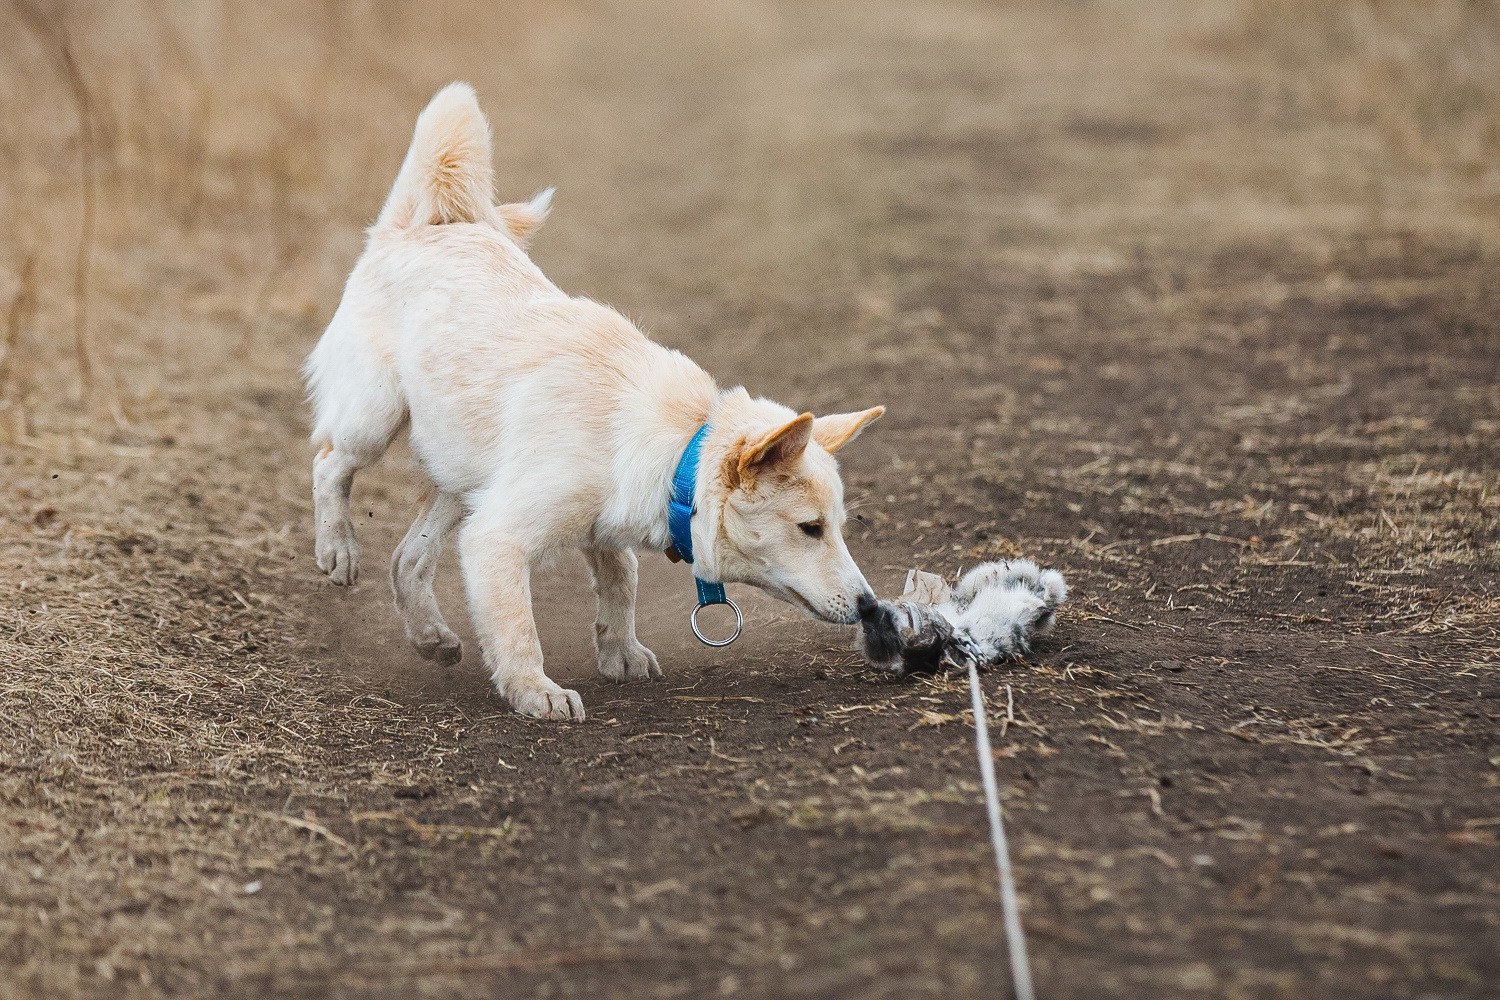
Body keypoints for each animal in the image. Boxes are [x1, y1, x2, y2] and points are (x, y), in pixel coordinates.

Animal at [309, 83, 882, 719]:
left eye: (838, 526)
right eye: (810, 528)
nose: (870, 608)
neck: (677, 454)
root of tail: (419, 227)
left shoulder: (594, 524)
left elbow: (621, 578)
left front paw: (620, 652)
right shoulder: (498, 537)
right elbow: (519, 626)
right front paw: (535, 691)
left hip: (462, 480)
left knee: (407, 559)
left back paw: (431, 636)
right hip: (375, 420)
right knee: (329, 463)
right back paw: (338, 549)